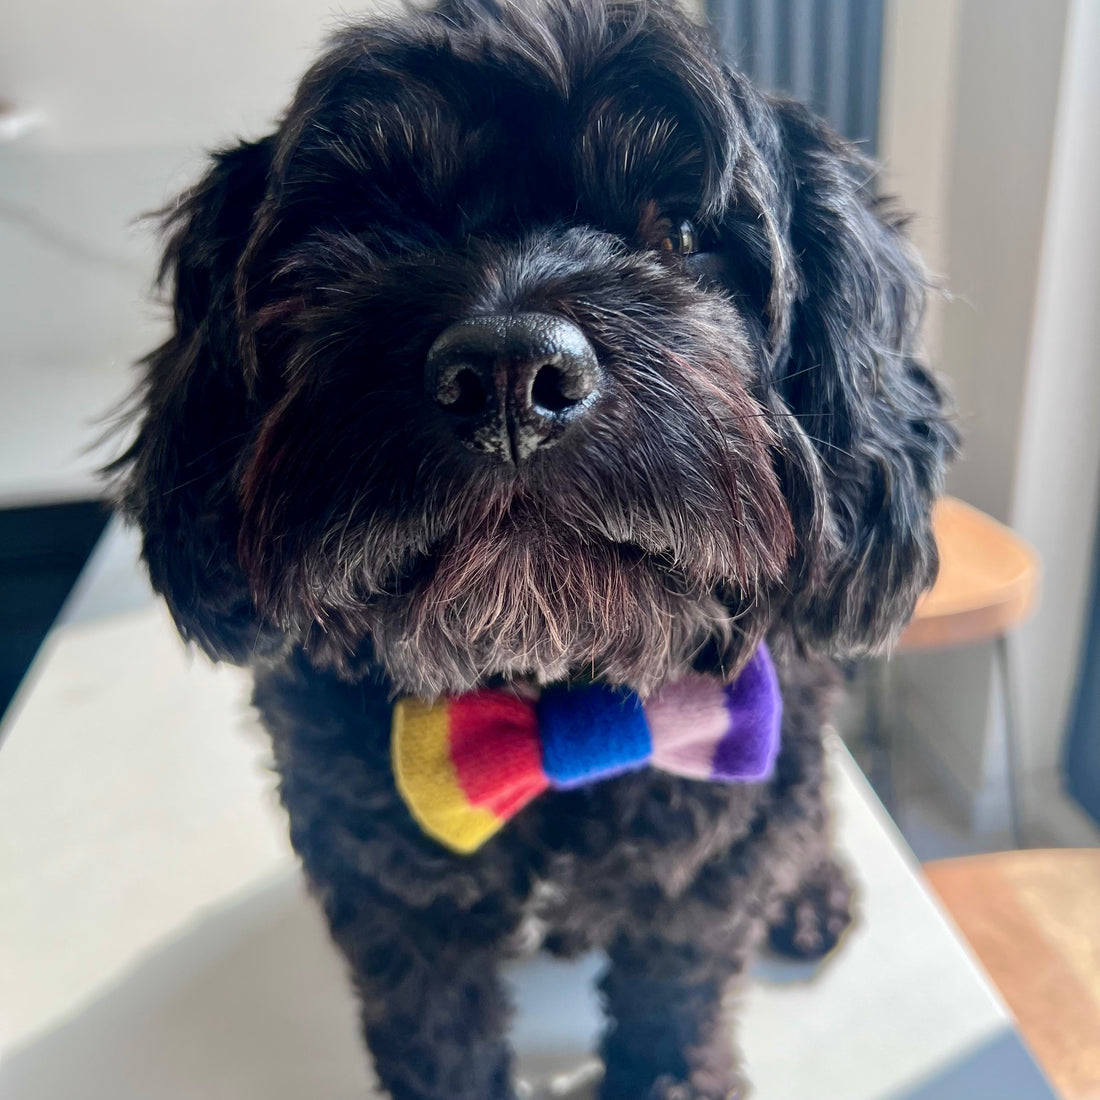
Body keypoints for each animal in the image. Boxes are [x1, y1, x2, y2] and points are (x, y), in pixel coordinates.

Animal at [113, 2, 954, 1100]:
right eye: (370, 226)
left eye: (682, 231)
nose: (513, 370)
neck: (553, 688)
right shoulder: (391, 885)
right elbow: (436, 1034)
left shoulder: (703, 866)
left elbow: (676, 1000)